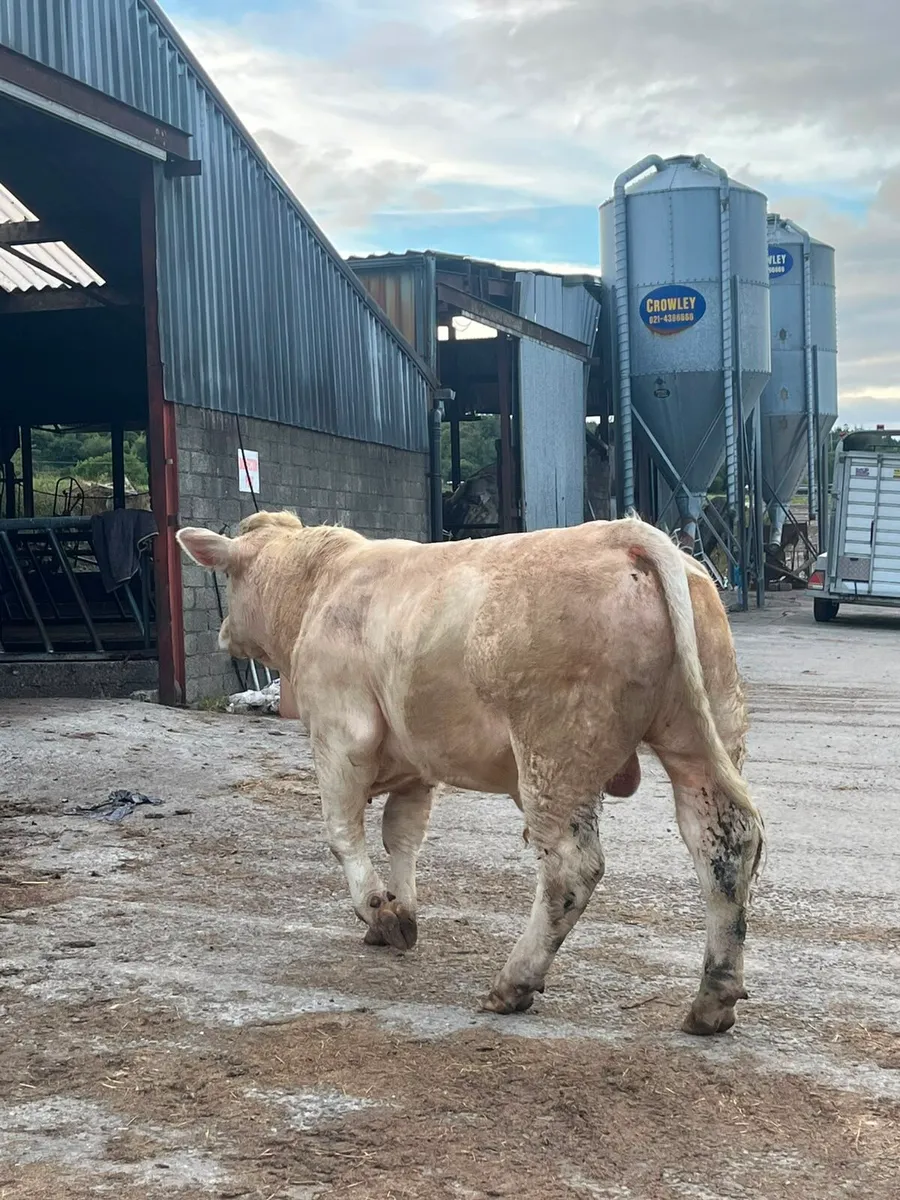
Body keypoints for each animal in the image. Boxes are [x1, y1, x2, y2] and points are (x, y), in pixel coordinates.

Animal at [177, 511, 765, 1036]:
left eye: (229, 575)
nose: (224, 632)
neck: (321, 586)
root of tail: (627, 534)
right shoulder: (415, 763)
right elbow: (402, 836)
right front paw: (401, 913)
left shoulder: (341, 736)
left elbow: (343, 834)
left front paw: (376, 911)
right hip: (701, 736)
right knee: (724, 847)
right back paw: (712, 1000)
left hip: (555, 754)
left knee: (571, 869)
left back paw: (513, 983)